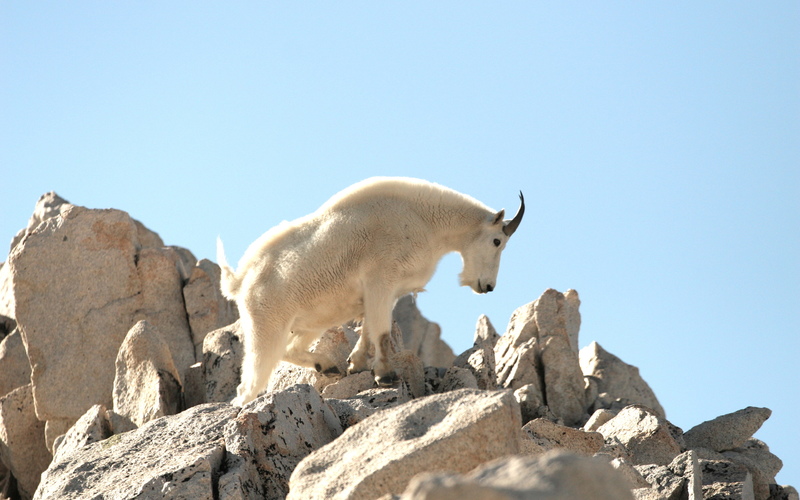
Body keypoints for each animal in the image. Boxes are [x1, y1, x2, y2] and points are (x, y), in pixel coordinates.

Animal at [217, 178, 524, 404]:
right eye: (497, 241)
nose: (487, 286)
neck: (425, 221)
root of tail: (240, 280)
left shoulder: (385, 292)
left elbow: (368, 332)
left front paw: (357, 365)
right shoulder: (380, 281)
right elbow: (382, 332)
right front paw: (386, 376)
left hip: (310, 323)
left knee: (290, 349)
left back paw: (327, 366)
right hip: (266, 325)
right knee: (249, 383)